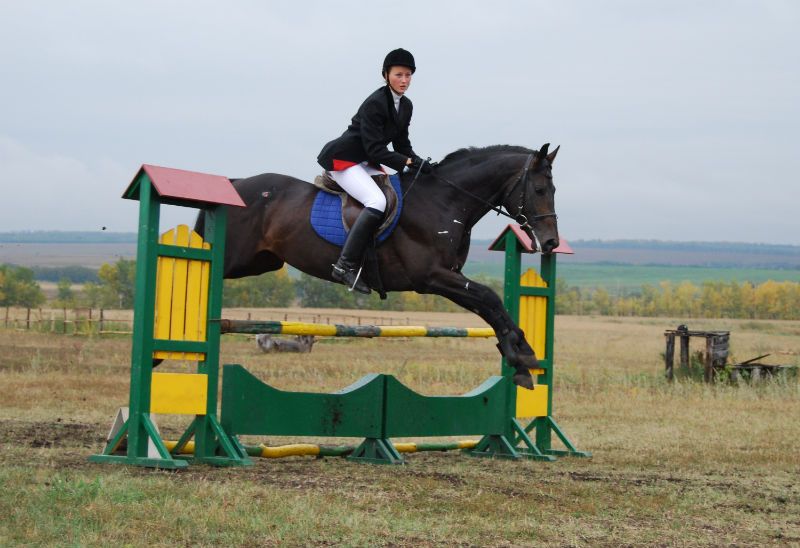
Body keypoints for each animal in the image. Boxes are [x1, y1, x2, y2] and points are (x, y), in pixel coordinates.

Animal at [197, 143, 560, 388]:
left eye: (554, 189)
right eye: (540, 189)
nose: (551, 242)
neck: (445, 201)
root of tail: (237, 183)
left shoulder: (449, 276)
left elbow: (490, 306)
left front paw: (520, 358)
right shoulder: (432, 277)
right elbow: (489, 298)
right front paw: (522, 355)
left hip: (261, 262)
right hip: (236, 259)